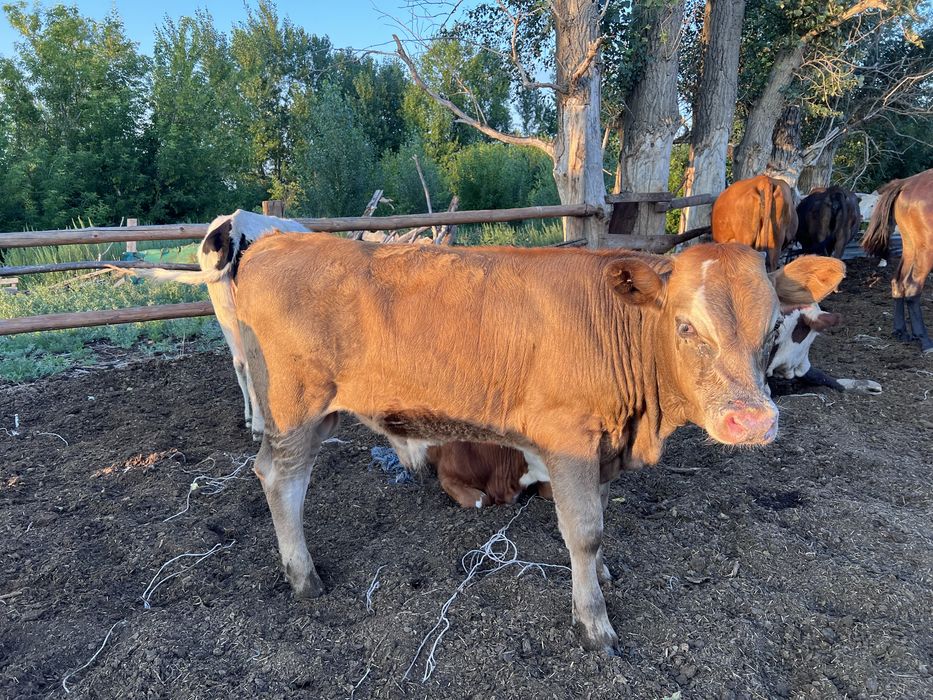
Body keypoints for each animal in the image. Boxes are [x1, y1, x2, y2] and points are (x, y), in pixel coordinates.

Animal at [232, 232, 843, 654]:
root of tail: (277, 240)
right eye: (686, 326)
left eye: (774, 329)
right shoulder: (568, 439)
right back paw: (304, 578)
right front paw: (594, 623)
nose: (753, 420)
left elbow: (599, 523)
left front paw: (601, 578)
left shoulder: (598, 448)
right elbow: (585, 532)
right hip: (295, 407)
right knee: (281, 479)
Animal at [862, 168, 933, 353]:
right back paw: (924, 340)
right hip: (926, 250)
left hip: (910, 246)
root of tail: (907, 182)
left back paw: (901, 331)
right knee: (912, 286)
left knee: (898, 281)